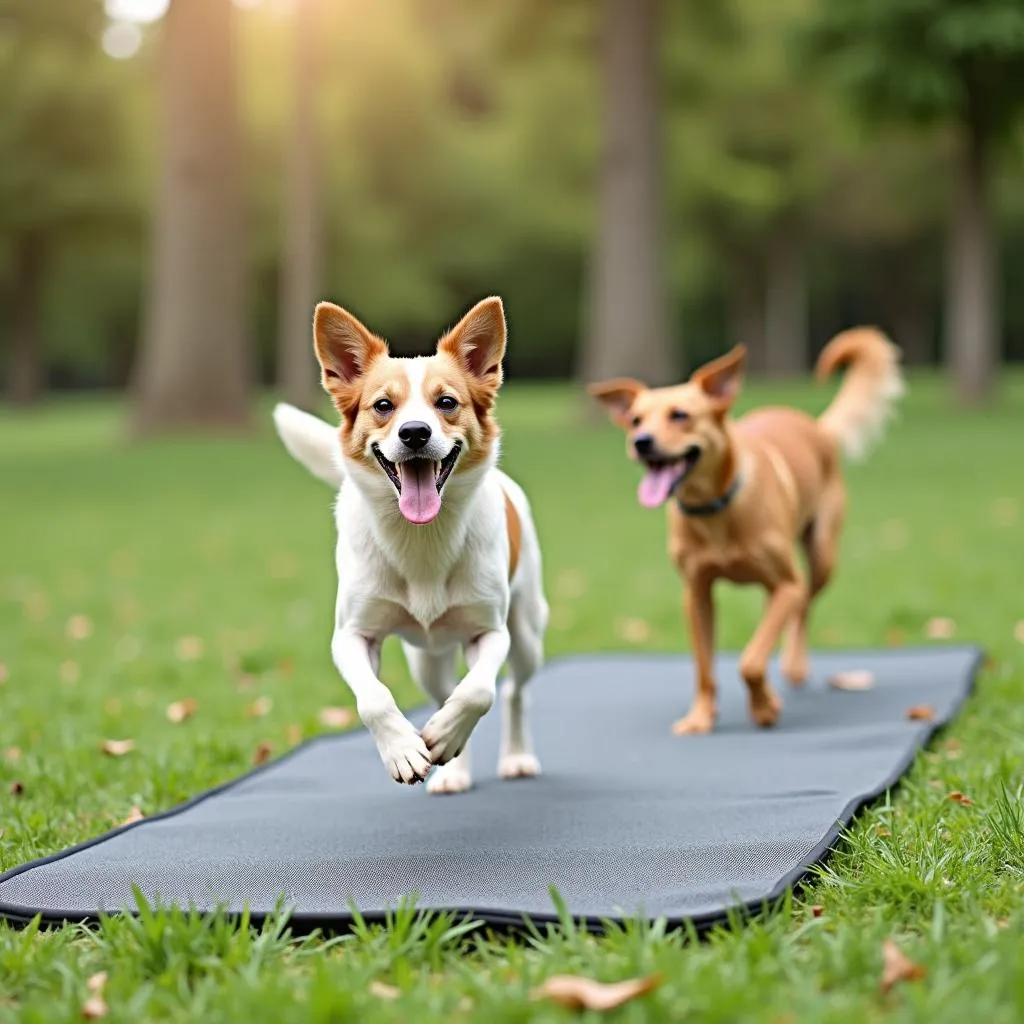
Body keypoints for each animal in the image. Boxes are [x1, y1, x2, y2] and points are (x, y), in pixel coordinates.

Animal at [268, 294, 548, 790]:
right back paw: (451, 771)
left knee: (513, 690)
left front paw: (445, 734)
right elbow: (375, 698)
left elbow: (478, 691)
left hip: (527, 634)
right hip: (426, 660)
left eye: (447, 402)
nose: (414, 432)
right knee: (444, 690)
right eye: (383, 405)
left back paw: (512, 755)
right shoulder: (352, 635)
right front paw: (404, 751)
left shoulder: (490, 631)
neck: (421, 541)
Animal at [589, 329, 901, 737]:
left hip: (819, 558)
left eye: (680, 415)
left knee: (803, 606)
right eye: (635, 419)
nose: (641, 442)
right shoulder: (696, 595)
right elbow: (704, 667)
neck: (714, 511)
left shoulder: (786, 584)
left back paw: (793, 665)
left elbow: (750, 661)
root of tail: (816, 428)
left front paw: (765, 707)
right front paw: (701, 716)